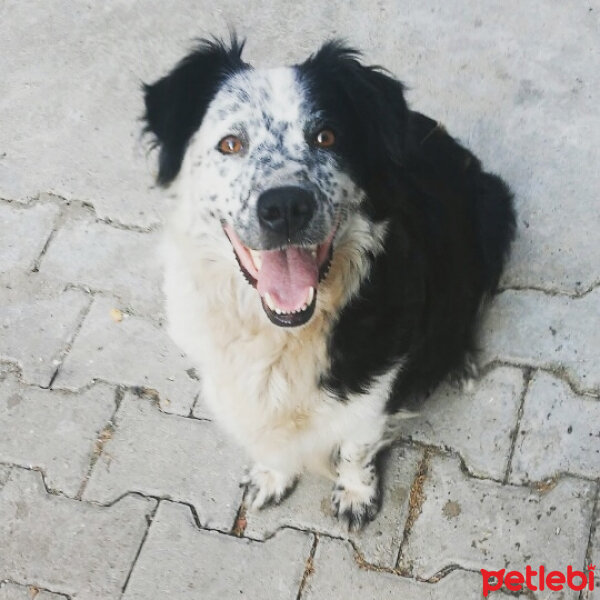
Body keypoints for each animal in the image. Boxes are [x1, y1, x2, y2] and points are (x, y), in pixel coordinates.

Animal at [142, 36, 516, 528]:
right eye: (231, 143)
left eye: (326, 136)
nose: (284, 207)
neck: (284, 337)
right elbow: (271, 441)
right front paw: (273, 475)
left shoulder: (375, 390)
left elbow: (356, 448)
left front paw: (356, 494)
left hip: (494, 210)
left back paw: (459, 362)